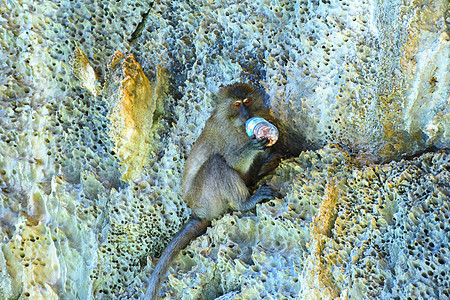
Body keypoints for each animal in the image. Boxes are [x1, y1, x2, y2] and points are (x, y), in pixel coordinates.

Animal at [145, 82, 278, 300]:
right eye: (237, 104)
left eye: (247, 101)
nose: (246, 113)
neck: (235, 123)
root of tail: (197, 211)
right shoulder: (228, 135)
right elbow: (232, 161)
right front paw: (253, 146)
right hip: (206, 197)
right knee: (216, 163)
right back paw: (245, 202)